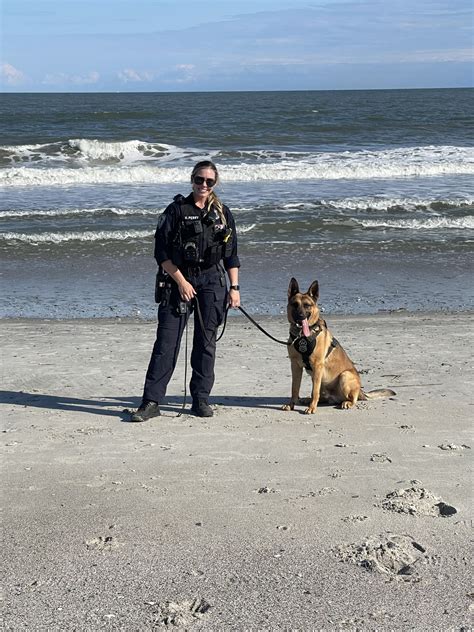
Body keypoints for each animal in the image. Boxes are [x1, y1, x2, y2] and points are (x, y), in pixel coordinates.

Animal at [282, 278, 396, 414]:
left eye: (307, 305)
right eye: (295, 304)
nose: (300, 316)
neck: (302, 337)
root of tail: (361, 391)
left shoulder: (317, 366)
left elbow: (314, 392)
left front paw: (311, 408)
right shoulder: (295, 366)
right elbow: (294, 388)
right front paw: (291, 405)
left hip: (344, 376)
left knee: (351, 398)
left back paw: (345, 402)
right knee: (321, 396)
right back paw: (307, 400)